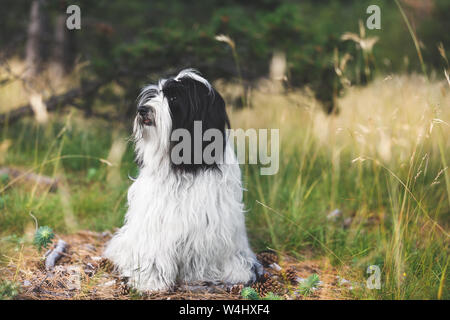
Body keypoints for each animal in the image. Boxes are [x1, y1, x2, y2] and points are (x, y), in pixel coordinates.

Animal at [104, 69, 262, 292]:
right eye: (155, 94)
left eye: (174, 98)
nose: (142, 110)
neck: (185, 165)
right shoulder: (156, 219)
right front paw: (150, 281)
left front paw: (236, 272)